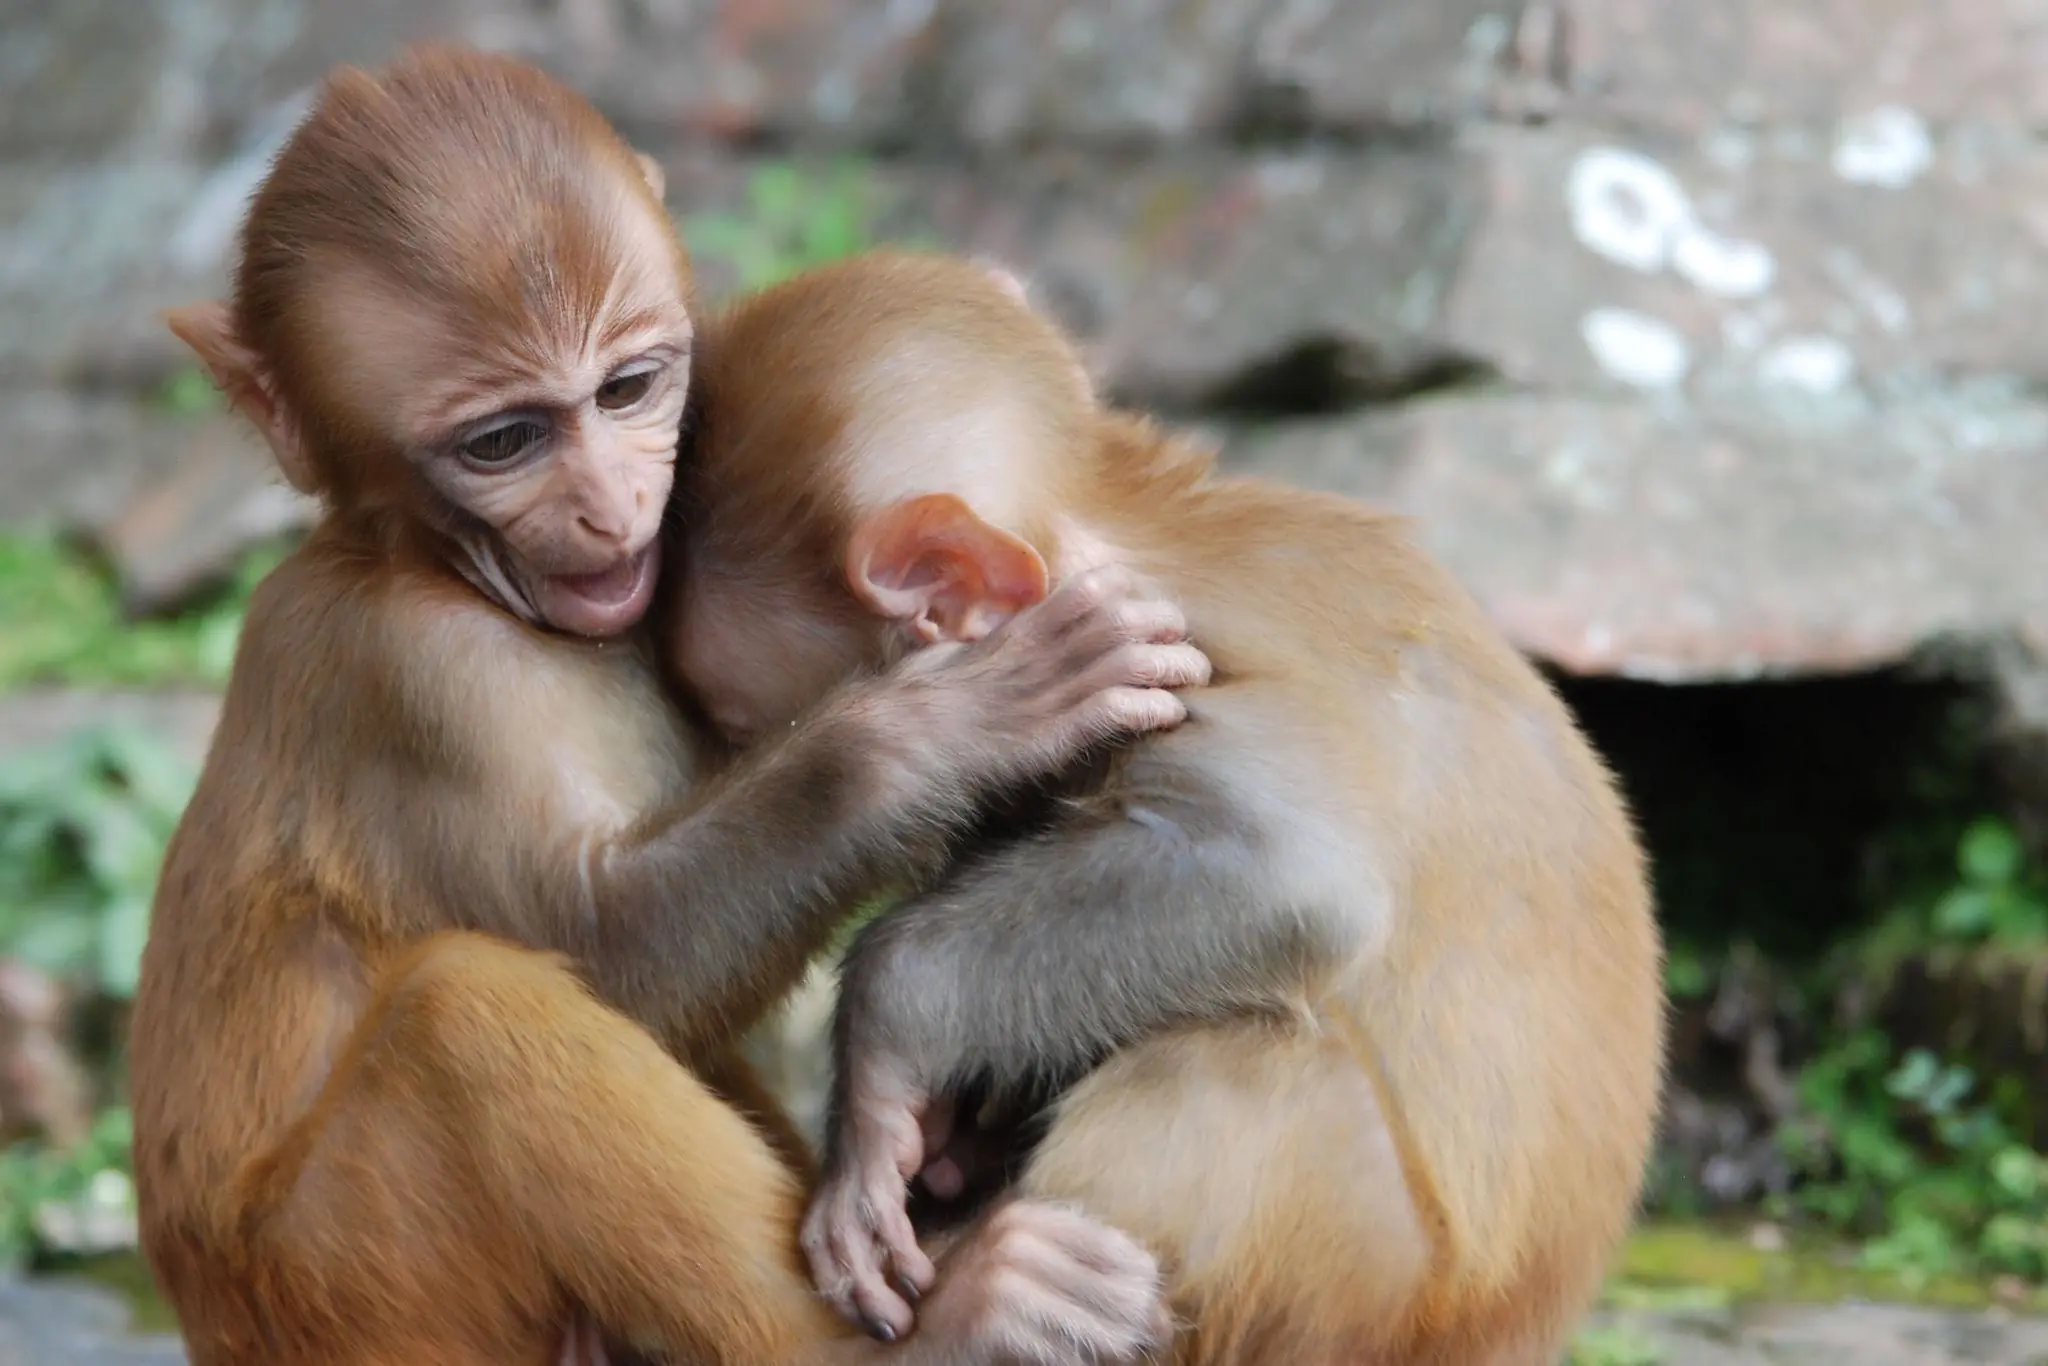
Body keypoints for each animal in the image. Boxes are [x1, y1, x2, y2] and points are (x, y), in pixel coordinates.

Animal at [126, 49, 1211, 1366]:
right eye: (503, 441)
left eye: (628, 388)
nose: (607, 505)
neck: (444, 574)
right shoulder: (412, 677)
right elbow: (612, 951)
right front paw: (938, 729)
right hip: (346, 1285)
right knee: (466, 1012)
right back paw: (945, 1320)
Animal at [663, 249, 1669, 1366]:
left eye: (744, 726)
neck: (1130, 526)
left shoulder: (1177, 659)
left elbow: (1289, 872)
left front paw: (882, 1050)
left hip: (1363, 1285)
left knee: (1226, 1066)